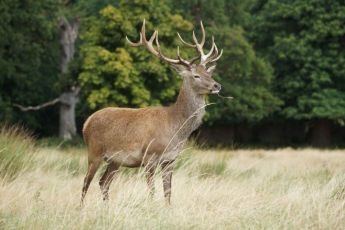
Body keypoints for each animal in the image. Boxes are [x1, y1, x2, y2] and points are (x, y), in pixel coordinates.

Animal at [80, 18, 223, 204]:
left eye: (208, 73)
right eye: (196, 76)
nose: (217, 85)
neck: (175, 128)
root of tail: (86, 123)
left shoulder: (171, 159)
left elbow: (168, 192)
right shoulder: (149, 156)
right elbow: (152, 191)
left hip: (115, 160)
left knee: (103, 182)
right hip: (94, 151)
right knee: (85, 183)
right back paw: (81, 208)